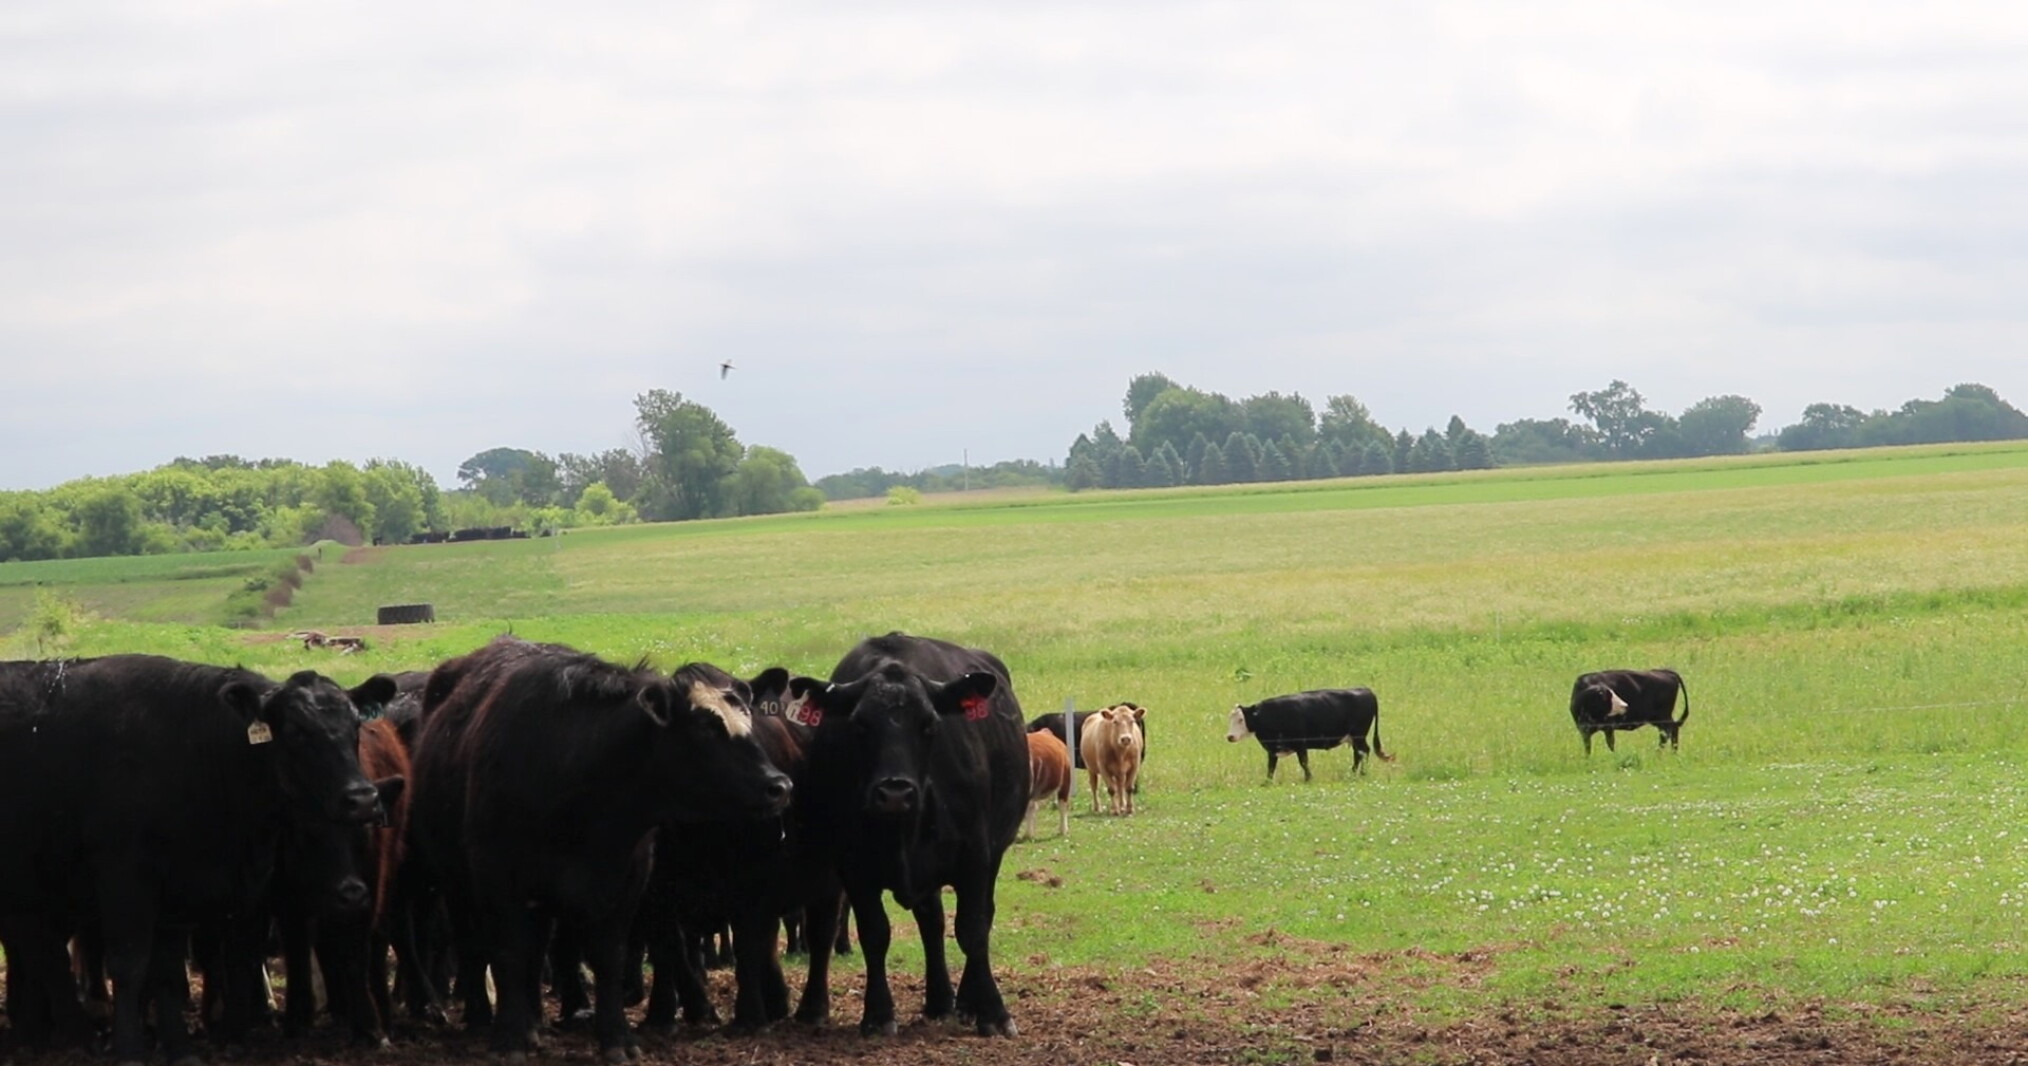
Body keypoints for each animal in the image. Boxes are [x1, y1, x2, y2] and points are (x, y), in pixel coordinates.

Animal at [0, 655, 393, 1066]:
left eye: (355, 725)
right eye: (296, 731)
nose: (362, 798)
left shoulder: (179, 889)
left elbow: (168, 974)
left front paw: (180, 1049)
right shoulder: (124, 878)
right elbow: (130, 966)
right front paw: (129, 1049)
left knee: (43, 952)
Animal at [405, 638, 791, 1062]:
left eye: (749, 717)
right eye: (706, 727)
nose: (779, 785)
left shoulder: (628, 882)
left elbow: (609, 958)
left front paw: (616, 1039)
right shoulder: (498, 879)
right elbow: (509, 953)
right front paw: (510, 1039)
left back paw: (534, 1022)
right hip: (457, 885)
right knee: (475, 945)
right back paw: (484, 1018)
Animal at [787, 632, 1029, 1037]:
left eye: (929, 724)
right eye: (860, 725)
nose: (895, 792)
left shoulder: (975, 857)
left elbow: (973, 929)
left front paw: (993, 1012)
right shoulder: (854, 868)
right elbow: (875, 932)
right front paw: (878, 1015)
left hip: (993, 852)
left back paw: (966, 1001)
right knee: (931, 921)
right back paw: (939, 1001)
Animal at [1226, 688, 1392, 782]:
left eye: (1241, 719)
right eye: (1230, 719)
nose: (1229, 737)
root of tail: (1365, 690)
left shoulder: (1301, 743)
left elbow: (1303, 762)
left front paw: (1308, 778)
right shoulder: (1272, 749)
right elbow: (1271, 766)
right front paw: (1267, 782)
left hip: (1358, 735)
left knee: (1364, 751)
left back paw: (1362, 773)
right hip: (1354, 737)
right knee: (1359, 753)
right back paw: (1352, 773)